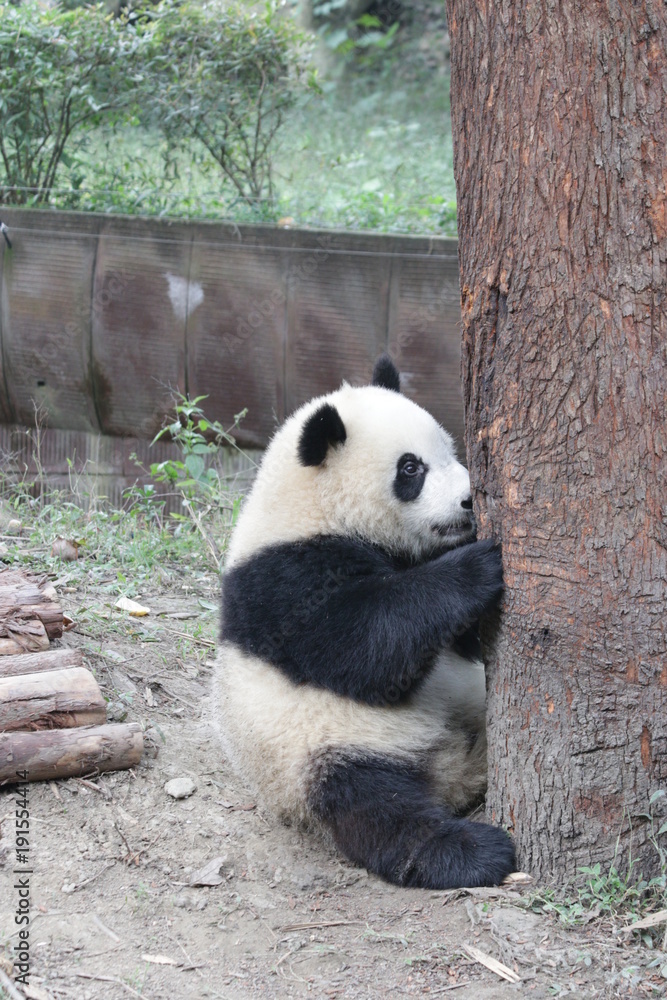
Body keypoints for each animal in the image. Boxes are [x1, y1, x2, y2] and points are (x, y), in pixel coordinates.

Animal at [213, 355, 516, 889]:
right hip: (324, 748)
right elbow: (366, 650)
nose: (467, 502)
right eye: (411, 468)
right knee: (375, 808)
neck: (314, 509)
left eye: (450, 450)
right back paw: (469, 852)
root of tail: (451, 771)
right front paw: (478, 565)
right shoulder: (286, 581)